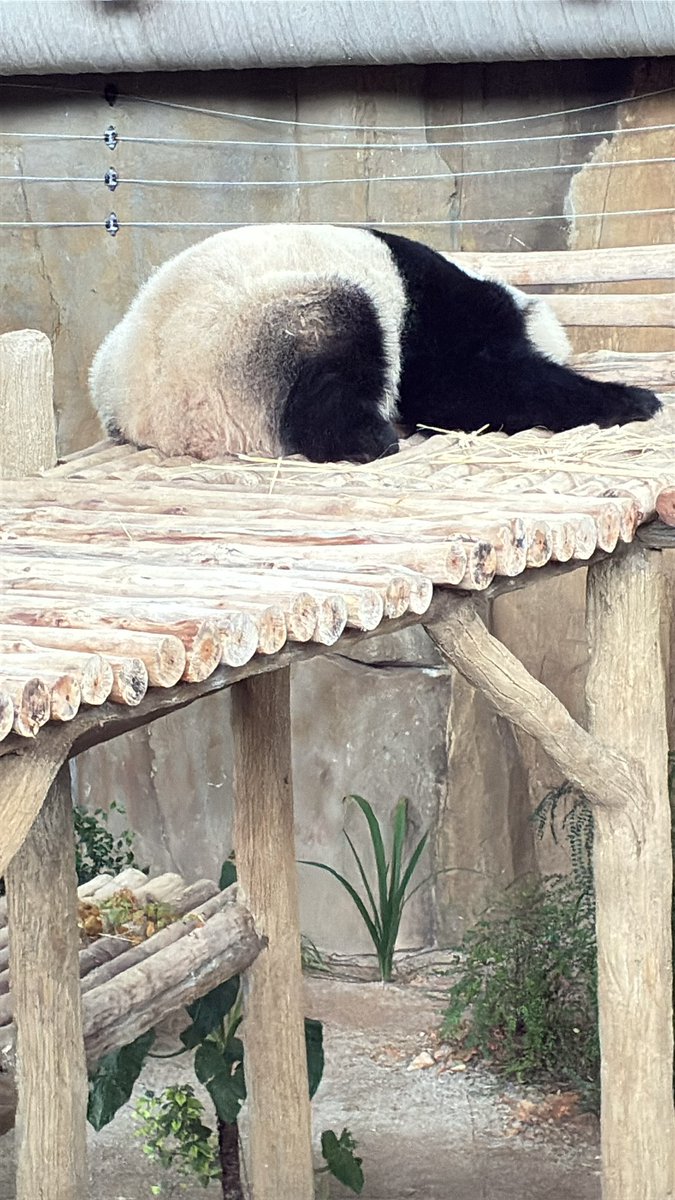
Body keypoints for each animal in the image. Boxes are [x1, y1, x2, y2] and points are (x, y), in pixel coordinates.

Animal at [89, 224, 661, 464]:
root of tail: (158, 419)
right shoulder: (434, 316)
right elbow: (467, 388)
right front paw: (634, 399)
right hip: (259, 322)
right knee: (338, 354)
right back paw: (370, 437)